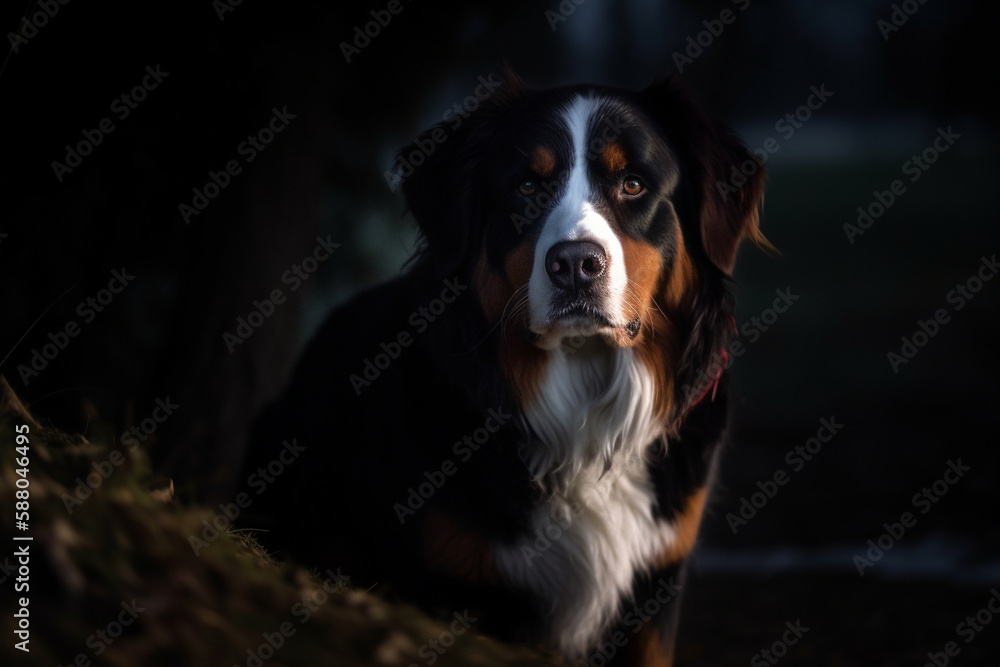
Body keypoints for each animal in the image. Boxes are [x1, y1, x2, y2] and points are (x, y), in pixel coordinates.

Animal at [240, 73, 764, 667]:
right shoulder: (452, 577)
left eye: (632, 184)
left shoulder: (656, 587)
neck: (583, 405)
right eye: (528, 187)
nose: (576, 264)